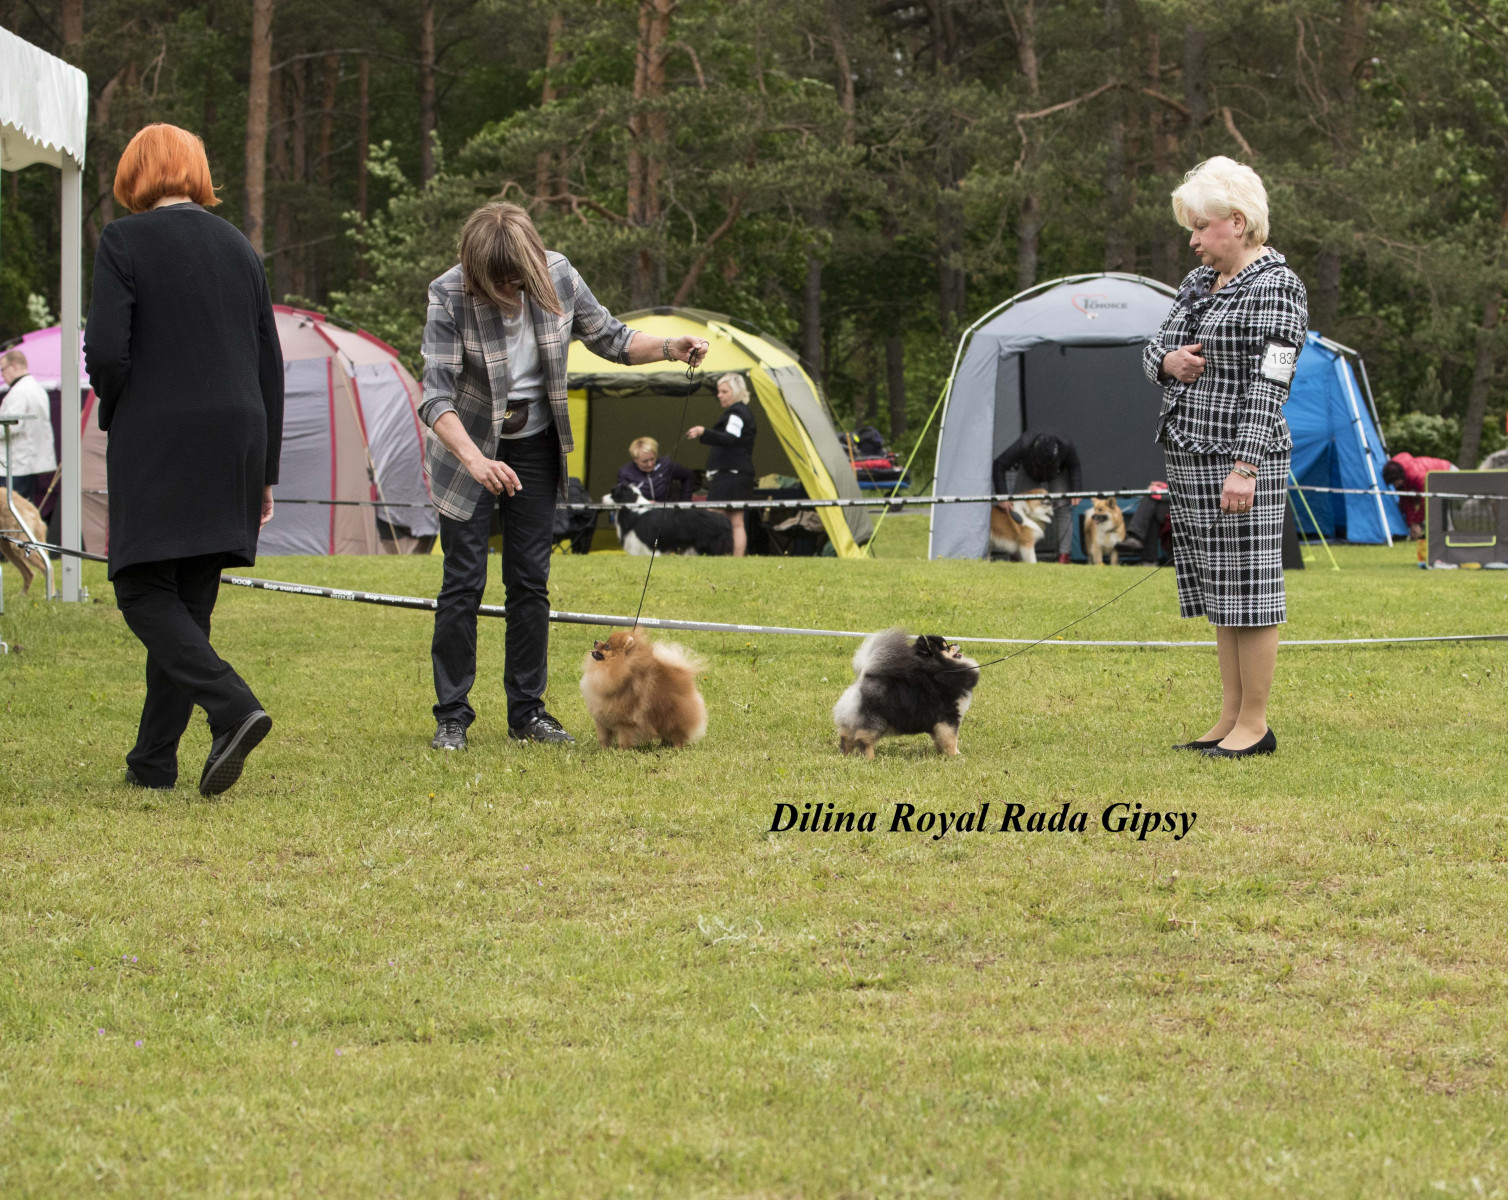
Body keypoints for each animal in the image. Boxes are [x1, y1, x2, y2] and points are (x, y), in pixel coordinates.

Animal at [579, 627, 708, 749]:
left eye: (607, 646)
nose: (596, 641)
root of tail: (683, 673)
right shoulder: (601, 720)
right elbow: (603, 739)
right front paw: (603, 750)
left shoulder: (625, 722)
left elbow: (624, 739)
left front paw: (621, 751)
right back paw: (663, 745)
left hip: (675, 716)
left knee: (677, 734)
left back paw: (676, 747)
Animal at [833, 628, 980, 758]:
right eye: (945, 647)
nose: (955, 643)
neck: (941, 668)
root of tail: (860, 683)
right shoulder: (949, 717)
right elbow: (951, 738)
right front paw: (955, 755)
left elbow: (939, 739)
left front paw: (942, 753)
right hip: (875, 720)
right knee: (864, 739)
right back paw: (870, 758)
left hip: (852, 719)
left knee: (846, 737)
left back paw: (846, 755)